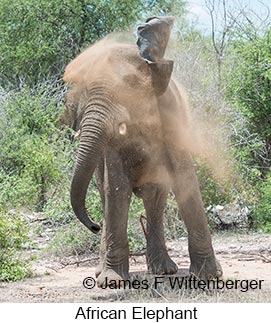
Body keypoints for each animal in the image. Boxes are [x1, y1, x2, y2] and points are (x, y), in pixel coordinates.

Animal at [63, 17, 223, 288]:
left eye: (129, 84)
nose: (94, 226)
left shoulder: (172, 117)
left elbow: (185, 180)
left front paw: (209, 277)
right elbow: (117, 189)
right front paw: (111, 281)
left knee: (155, 198)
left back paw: (164, 270)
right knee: (109, 195)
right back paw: (105, 270)